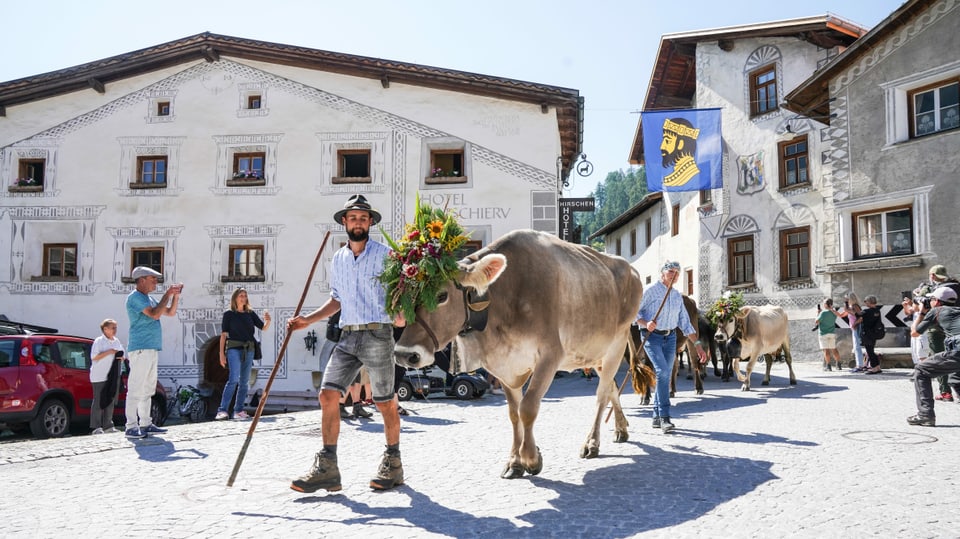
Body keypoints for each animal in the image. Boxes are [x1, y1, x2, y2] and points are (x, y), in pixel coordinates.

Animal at [390, 230, 652, 478]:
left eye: (442, 296)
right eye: (407, 296)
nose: (403, 354)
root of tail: (630, 269)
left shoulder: (550, 355)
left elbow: (528, 408)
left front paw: (531, 459)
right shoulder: (505, 366)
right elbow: (514, 414)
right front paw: (515, 462)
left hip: (616, 345)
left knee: (601, 394)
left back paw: (592, 443)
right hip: (594, 353)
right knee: (612, 388)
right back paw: (621, 428)